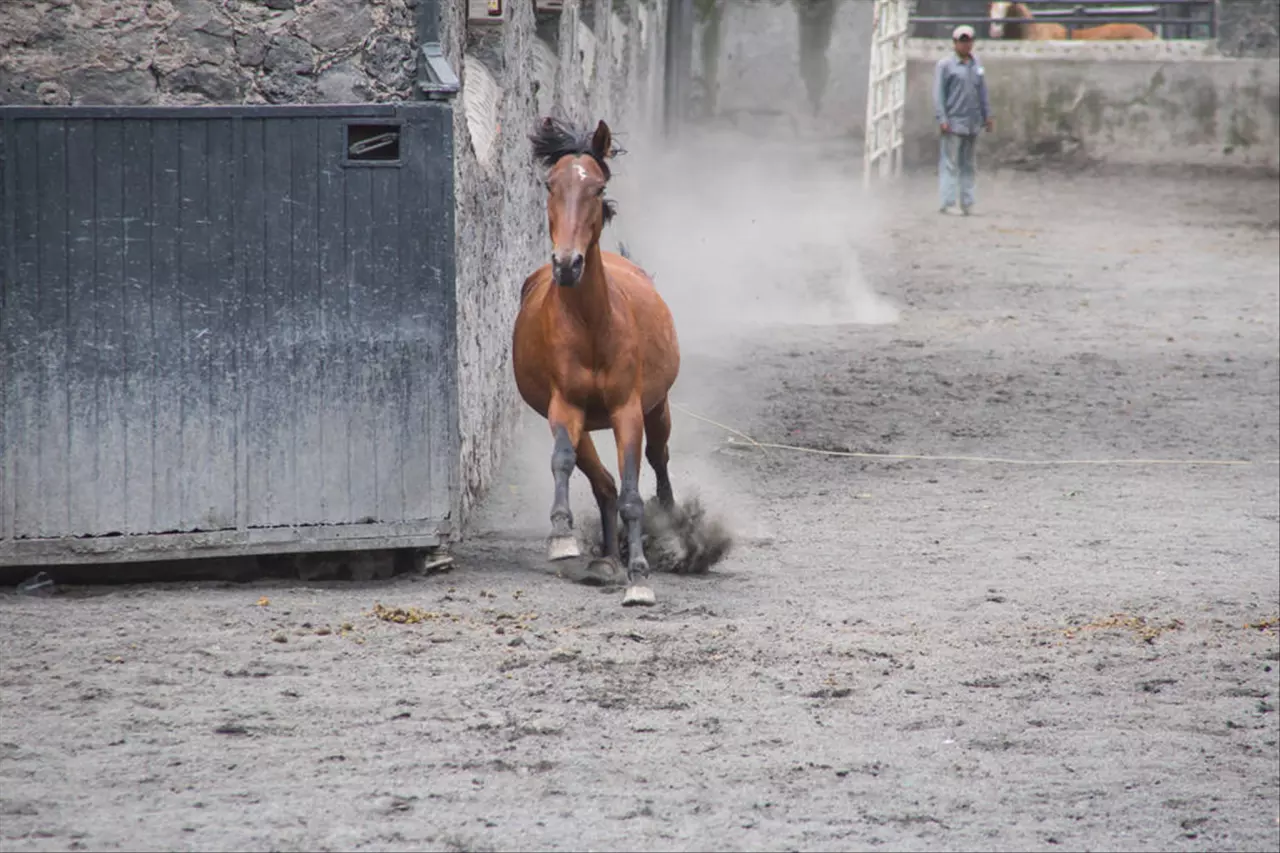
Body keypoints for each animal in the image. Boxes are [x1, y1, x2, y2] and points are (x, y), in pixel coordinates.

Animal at [509, 116, 680, 604]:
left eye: (598, 188)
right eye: (551, 183)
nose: (568, 264)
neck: (591, 326)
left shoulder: (628, 410)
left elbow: (633, 493)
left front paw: (640, 578)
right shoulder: (564, 407)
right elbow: (563, 461)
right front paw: (562, 537)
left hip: (659, 408)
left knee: (659, 460)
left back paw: (671, 535)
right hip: (584, 421)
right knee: (600, 480)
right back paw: (605, 559)